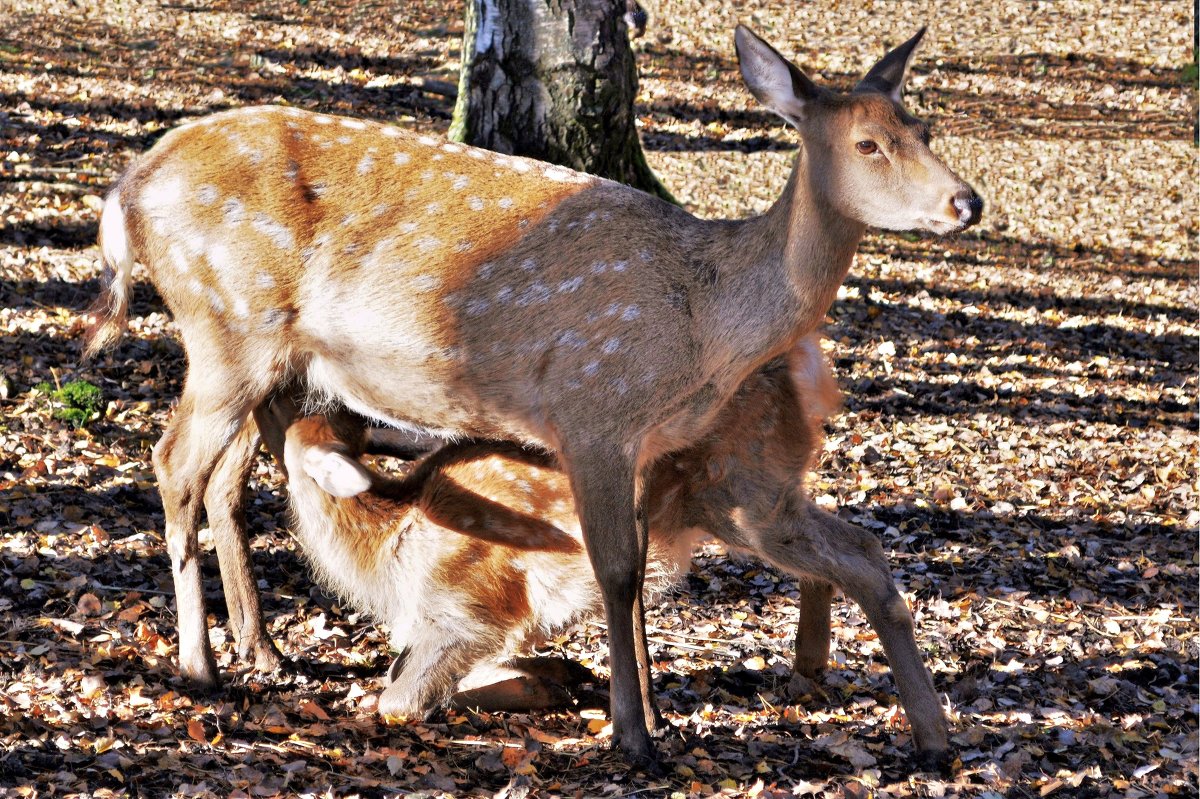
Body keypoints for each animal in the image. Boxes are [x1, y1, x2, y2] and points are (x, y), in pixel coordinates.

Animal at [87, 24, 984, 758]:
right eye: (868, 143)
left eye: (925, 129)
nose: (967, 201)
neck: (704, 324)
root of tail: (125, 192)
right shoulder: (591, 407)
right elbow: (616, 569)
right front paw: (632, 735)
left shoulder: (646, 440)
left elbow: (635, 569)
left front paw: (651, 715)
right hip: (225, 327)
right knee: (174, 465)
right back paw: (201, 663)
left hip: (272, 362)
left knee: (225, 479)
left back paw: (261, 649)